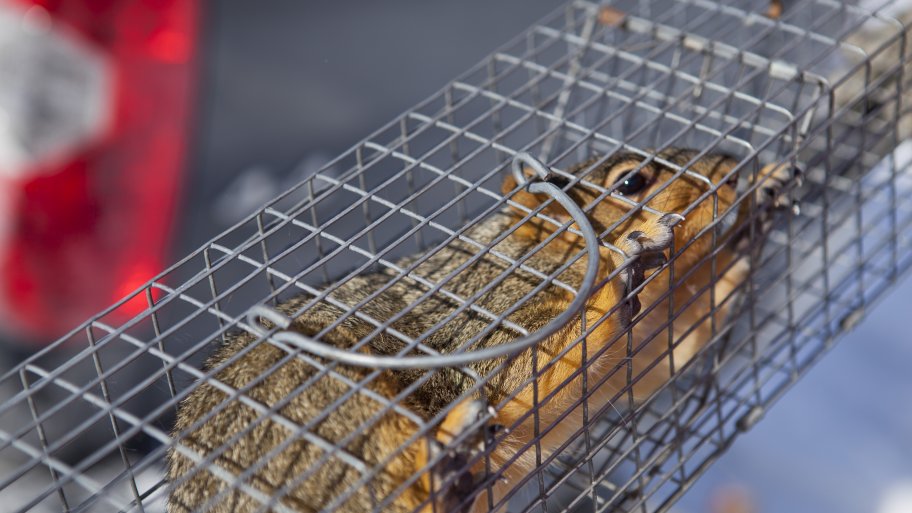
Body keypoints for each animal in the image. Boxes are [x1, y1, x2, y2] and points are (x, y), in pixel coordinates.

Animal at [166, 148, 794, 513]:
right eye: (632, 182)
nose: (731, 164)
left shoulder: (640, 359)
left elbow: (679, 347)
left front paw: (756, 215)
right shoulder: (494, 322)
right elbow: (537, 364)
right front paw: (621, 273)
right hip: (328, 408)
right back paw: (449, 459)